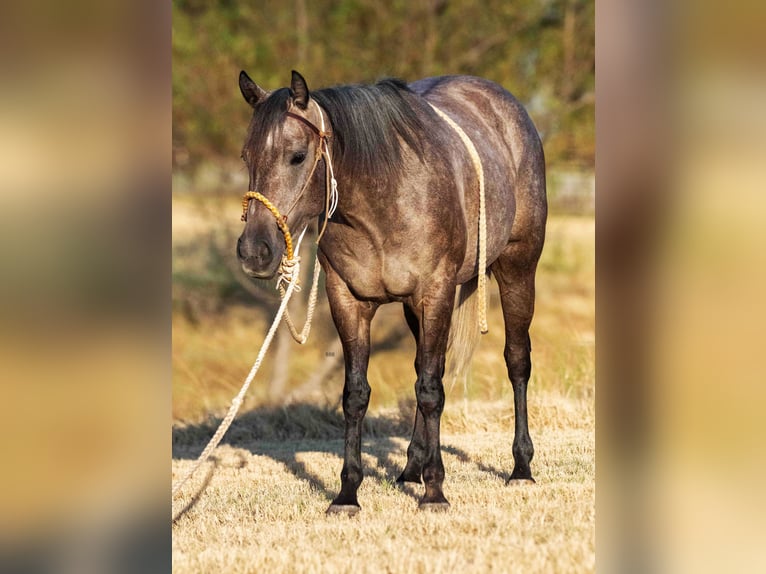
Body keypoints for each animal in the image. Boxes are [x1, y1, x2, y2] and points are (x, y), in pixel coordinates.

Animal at [236, 70, 547, 514]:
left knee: (516, 361)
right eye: (246, 157)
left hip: (518, 269)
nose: (253, 251)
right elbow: (357, 394)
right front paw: (347, 493)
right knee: (427, 366)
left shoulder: (435, 293)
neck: (382, 199)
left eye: (296, 156)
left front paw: (435, 492)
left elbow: (432, 390)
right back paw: (412, 467)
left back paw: (520, 467)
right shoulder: (348, 300)